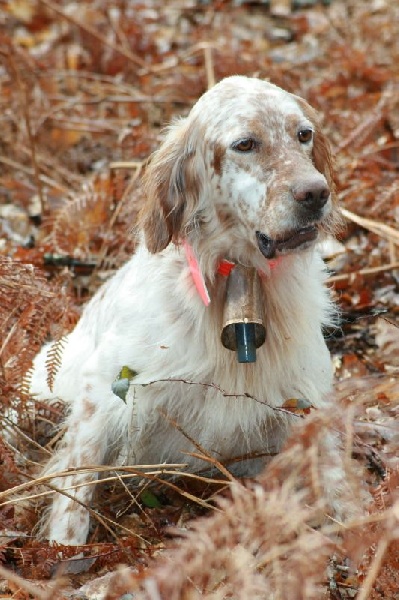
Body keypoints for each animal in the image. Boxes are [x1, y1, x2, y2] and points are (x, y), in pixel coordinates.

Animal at [30, 75, 344, 544]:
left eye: (303, 134)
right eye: (245, 144)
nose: (316, 193)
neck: (235, 274)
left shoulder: (305, 403)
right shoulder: (100, 392)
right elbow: (75, 488)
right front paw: (63, 550)